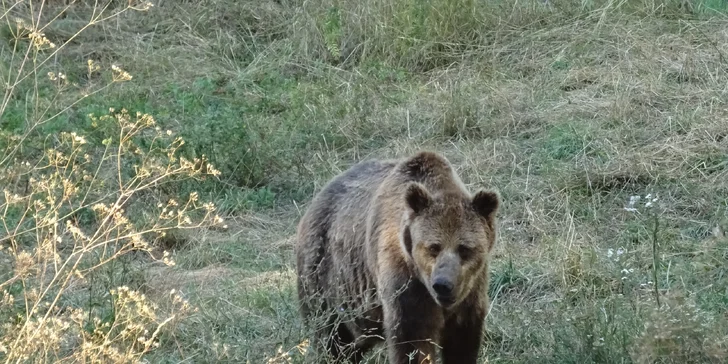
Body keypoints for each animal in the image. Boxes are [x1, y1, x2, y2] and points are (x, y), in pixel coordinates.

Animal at [292, 149, 498, 362]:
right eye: (433, 247)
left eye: (464, 248)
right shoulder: (404, 281)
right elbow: (412, 340)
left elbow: (462, 342)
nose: (443, 284)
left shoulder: (471, 291)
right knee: (330, 338)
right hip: (327, 281)